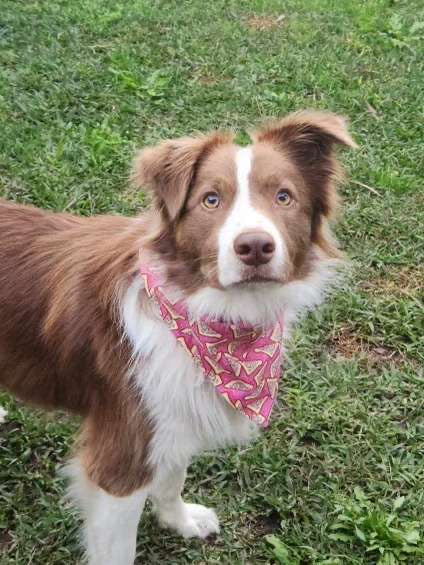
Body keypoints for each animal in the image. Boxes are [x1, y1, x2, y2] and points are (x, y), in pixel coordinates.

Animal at [0, 111, 354, 564]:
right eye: (210, 200)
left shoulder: (174, 413)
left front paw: (179, 520)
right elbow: (118, 549)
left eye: (284, 196)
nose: (255, 247)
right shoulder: (120, 457)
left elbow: (173, 476)